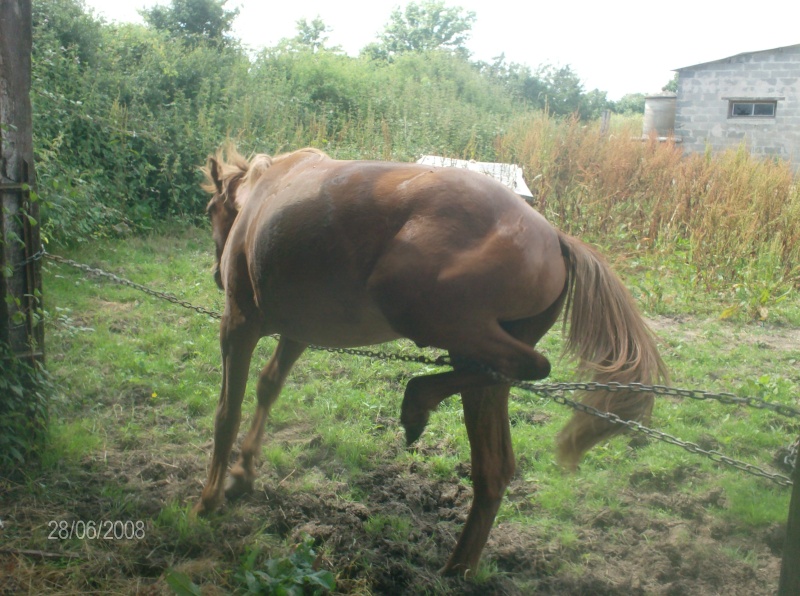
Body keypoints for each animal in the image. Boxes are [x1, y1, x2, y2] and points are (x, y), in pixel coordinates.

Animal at [197, 144, 664, 572]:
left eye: (209, 209)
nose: (217, 274)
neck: (264, 192)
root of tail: (555, 239)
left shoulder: (238, 324)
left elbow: (226, 412)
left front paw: (208, 499)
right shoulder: (297, 333)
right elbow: (268, 387)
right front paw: (241, 475)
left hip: (420, 310)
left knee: (533, 367)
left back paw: (416, 403)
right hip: (478, 369)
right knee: (495, 462)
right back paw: (456, 568)